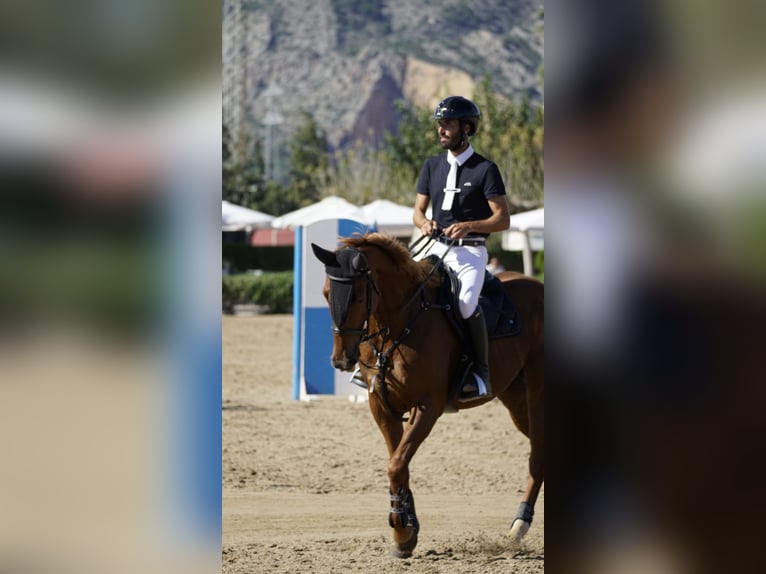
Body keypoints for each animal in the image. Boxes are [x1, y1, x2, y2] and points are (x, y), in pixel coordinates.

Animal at [312, 233, 544, 560]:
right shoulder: (382, 405)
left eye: (357, 297)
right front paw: (406, 532)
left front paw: (402, 531)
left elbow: (397, 464)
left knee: (539, 453)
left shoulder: (427, 406)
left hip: (537, 390)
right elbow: (398, 464)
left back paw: (520, 524)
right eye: (325, 293)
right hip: (516, 397)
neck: (400, 321)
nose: (341, 360)